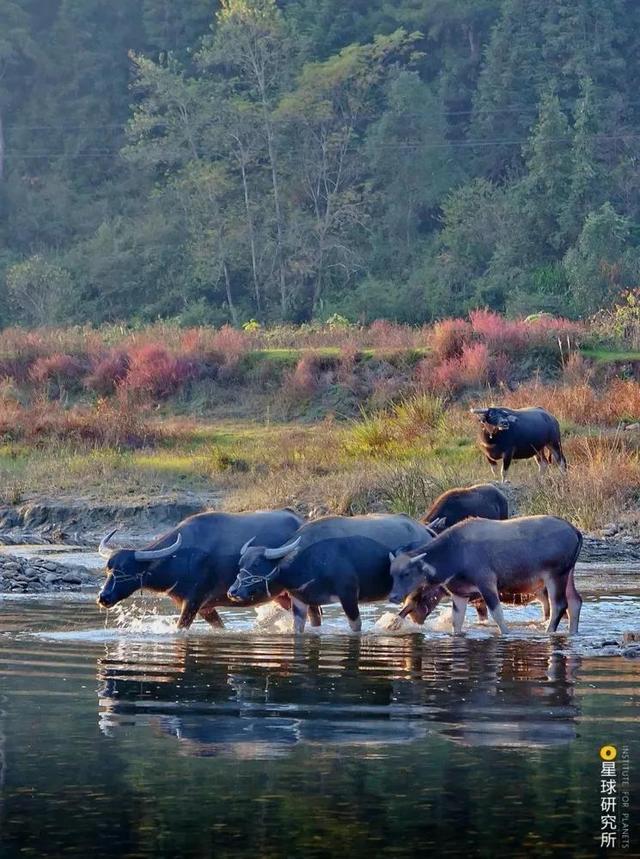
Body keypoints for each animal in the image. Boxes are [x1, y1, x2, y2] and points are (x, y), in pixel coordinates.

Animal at [96, 510, 304, 632]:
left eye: (124, 571)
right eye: (108, 569)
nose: (103, 597)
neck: (180, 558)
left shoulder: (193, 602)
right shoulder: (206, 608)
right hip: (280, 595)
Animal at [228, 512, 432, 636]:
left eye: (256, 564)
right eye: (241, 563)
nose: (233, 592)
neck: (307, 559)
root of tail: (425, 530)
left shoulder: (348, 595)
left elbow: (355, 627)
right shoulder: (300, 601)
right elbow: (298, 628)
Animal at [388, 512, 584, 636]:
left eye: (406, 573)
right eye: (392, 573)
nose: (393, 596)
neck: (455, 555)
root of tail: (574, 530)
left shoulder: (487, 584)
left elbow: (498, 615)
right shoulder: (460, 593)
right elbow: (456, 622)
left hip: (555, 575)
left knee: (559, 605)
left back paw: (548, 631)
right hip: (568, 573)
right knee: (575, 602)